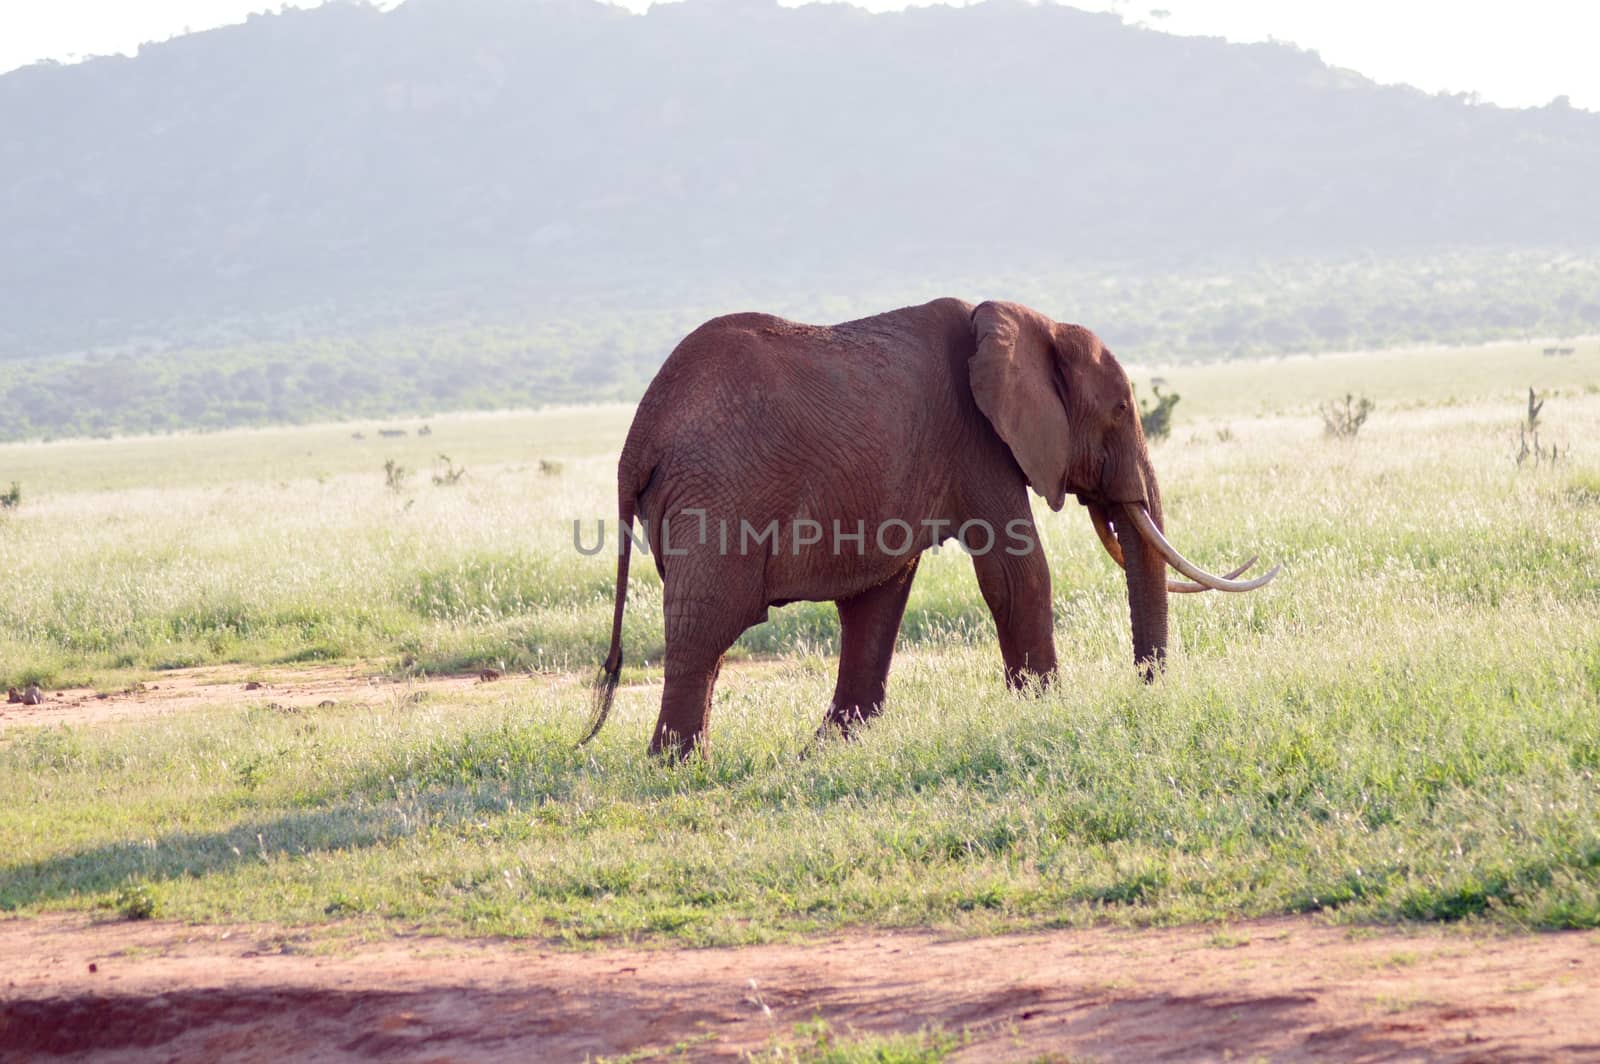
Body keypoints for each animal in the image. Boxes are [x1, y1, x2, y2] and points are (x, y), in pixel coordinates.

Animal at [588, 300, 1273, 755]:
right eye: (1122, 409)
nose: (1145, 689)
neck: (1024, 322)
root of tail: (637, 436)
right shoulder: (978, 442)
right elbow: (1016, 572)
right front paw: (1050, 712)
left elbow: (881, 594)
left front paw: (833, 748)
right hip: (720, 495)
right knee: (705, 627)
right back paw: (679, 765)